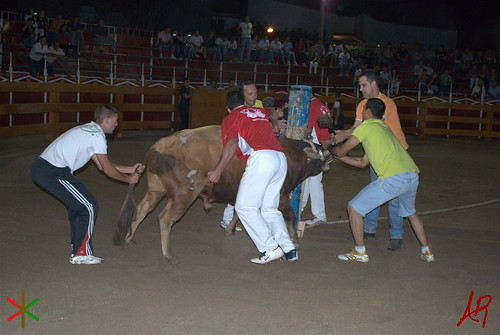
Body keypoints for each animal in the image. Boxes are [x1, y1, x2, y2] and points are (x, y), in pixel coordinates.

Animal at [114, 124, 330, 264]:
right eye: (318, 152)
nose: (329, 156)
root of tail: (158, 148)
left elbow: (237, 213)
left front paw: (229, 229)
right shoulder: (281, 195)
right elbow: (290, 215)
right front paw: (294, 242)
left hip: (155, 191)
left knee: (141, 210)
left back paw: (130, 238)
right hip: (182, 196)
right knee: (165, 218)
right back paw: (168, 254)